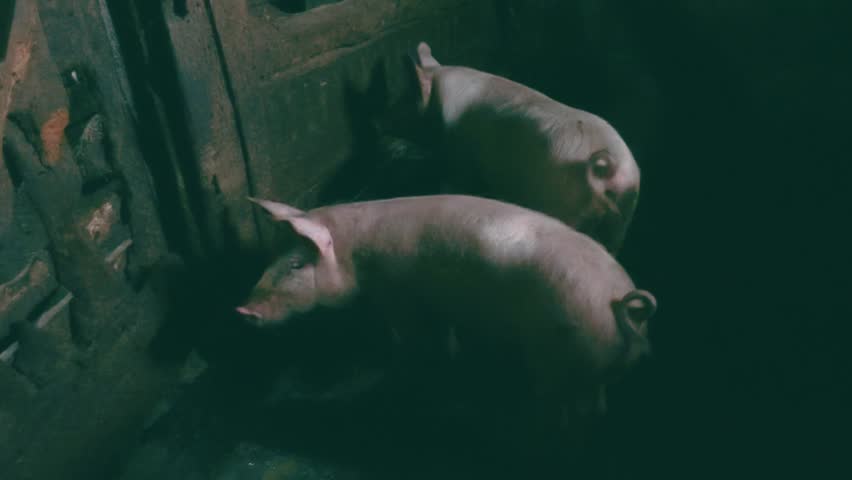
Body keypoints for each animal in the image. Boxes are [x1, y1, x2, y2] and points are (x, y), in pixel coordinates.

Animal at [236, 194, 656, 429]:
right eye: (273, 256)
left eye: (295, 265)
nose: (242, 310)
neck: (357, 252)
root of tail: (621, 304)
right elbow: (445, 334)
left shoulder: (400, 294)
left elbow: (414, 338)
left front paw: (408, 366)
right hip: (589, 368)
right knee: (596, 403)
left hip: (554, 359)